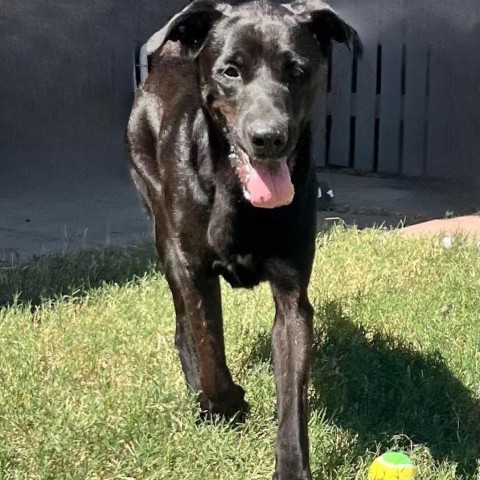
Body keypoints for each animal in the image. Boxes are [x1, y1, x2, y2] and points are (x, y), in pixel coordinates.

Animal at [125, 1, 358, 478]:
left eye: (297, 70)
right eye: (230, 71)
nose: (269, 138)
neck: (237, 195)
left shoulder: (293, 298)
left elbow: (293, 395)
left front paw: (292, 467)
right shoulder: (195, 272)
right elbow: (209, 349)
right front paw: (226, 402)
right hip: (162, 232)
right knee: (184, 327)